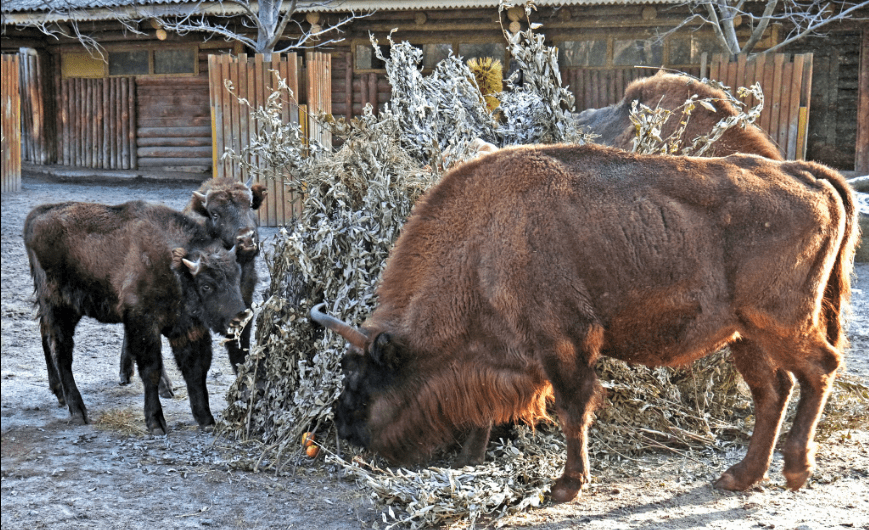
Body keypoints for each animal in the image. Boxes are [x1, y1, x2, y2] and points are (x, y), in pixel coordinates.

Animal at [25, 200, 248, 432]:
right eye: (206, 285)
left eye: (237, 278)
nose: (240, 316)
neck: (174, 267)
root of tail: (35, 216)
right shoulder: (144, 323)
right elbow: (151, 369)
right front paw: (156, 422)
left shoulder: (188, 328)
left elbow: (195, 369)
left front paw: (206, 419)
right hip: (60, 308)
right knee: (62, 352)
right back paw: (77, 410)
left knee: (46, 337)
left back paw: (60, 393)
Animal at [310, 142, 856, 502]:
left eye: (360, 382)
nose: (342, 431)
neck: (485, 242)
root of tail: (810, 174)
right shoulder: (503, 355)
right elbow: (489, 408)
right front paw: (470, 459)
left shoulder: (565, 345)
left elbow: (574, 410)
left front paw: (566, 486)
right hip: (745, 334)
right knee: (774, 390)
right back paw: (741, 476)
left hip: (782, 321)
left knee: (819, 370)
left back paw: (795, 471)